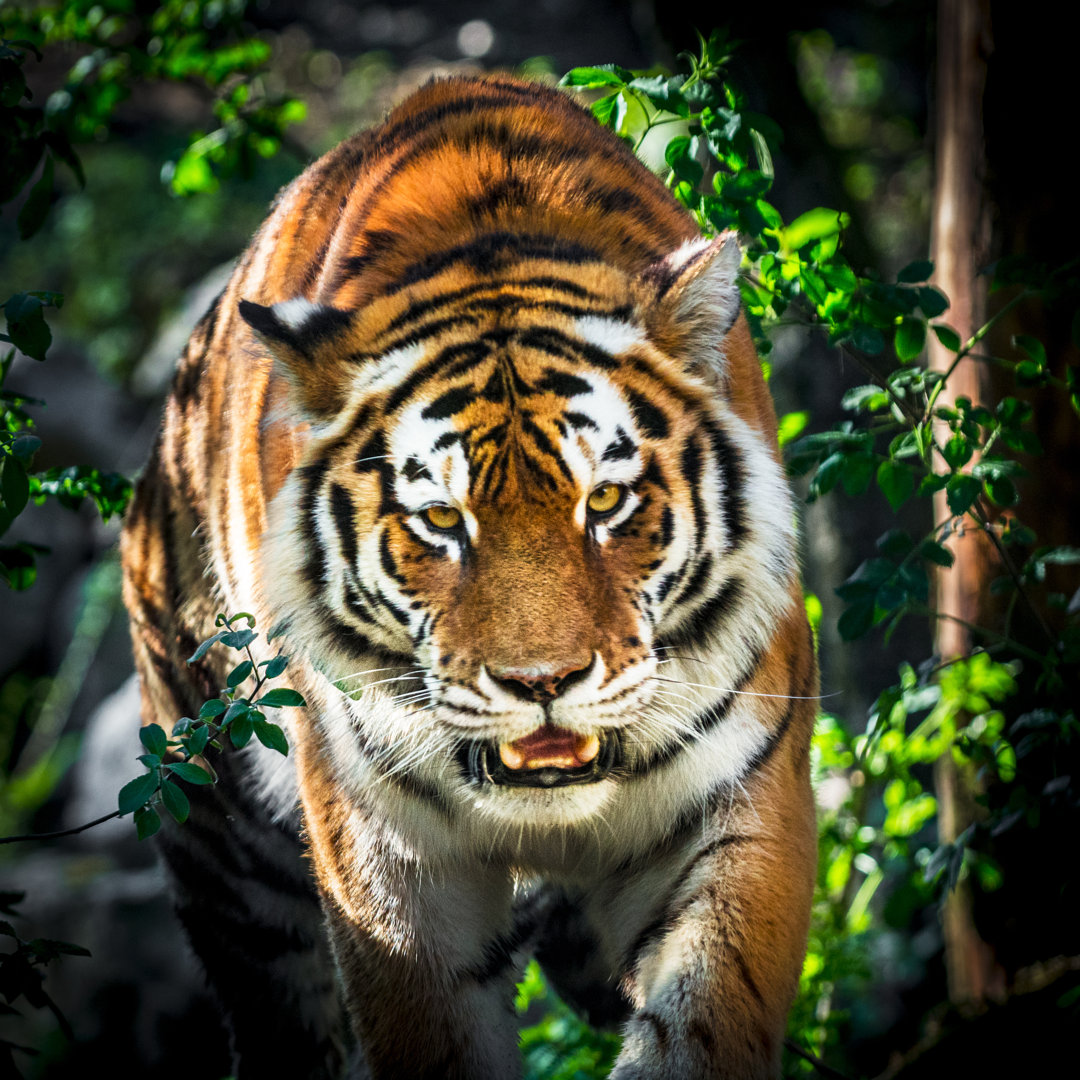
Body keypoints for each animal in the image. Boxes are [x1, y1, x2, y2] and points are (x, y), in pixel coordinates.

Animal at [118, 73, 812, 1080]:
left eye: (606, 500)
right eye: (443, 520)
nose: (542, 684)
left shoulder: (742, 801)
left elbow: (703, 1021)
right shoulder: (387, 865)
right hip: (224, 845)